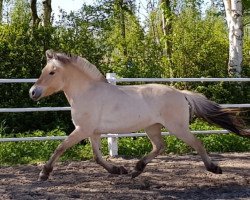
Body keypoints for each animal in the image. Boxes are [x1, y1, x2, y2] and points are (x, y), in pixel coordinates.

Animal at [30, 50, 249, 181]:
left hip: (177, 127)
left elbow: (60, 147)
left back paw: (214, 168)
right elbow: (97, 157)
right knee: (160, 146)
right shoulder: (93, 132)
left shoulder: (82, 130)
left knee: (197, 143)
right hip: (152, 128)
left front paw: (44, 173)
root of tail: (181, 93)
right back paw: (136, 169)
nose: (33, 92)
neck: (86, 92)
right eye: (43, 70)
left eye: (51, 72)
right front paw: (118, 170)